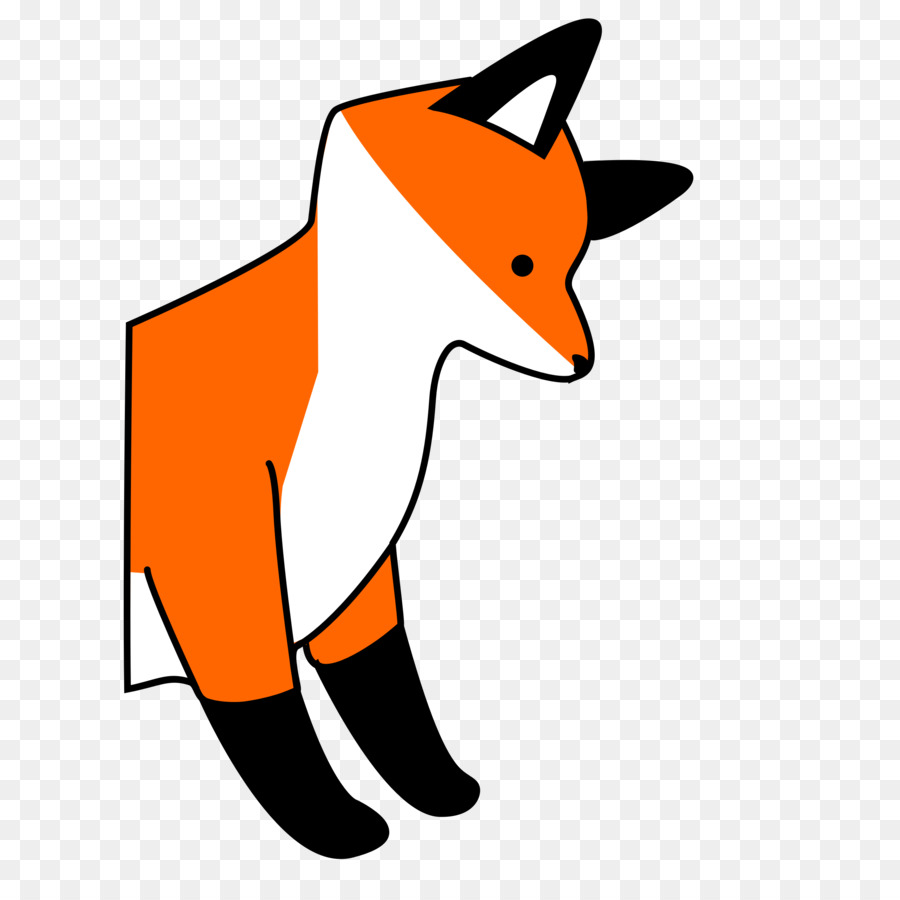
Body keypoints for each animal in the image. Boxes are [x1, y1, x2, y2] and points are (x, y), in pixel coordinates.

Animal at [124, 20, 692, 858]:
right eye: (521, 262)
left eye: (572, 267)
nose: (584, 361)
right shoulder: (221, 564)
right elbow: (268, 714)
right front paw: (330, 825)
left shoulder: (356, 566)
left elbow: (385, 692)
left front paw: (437, 790)